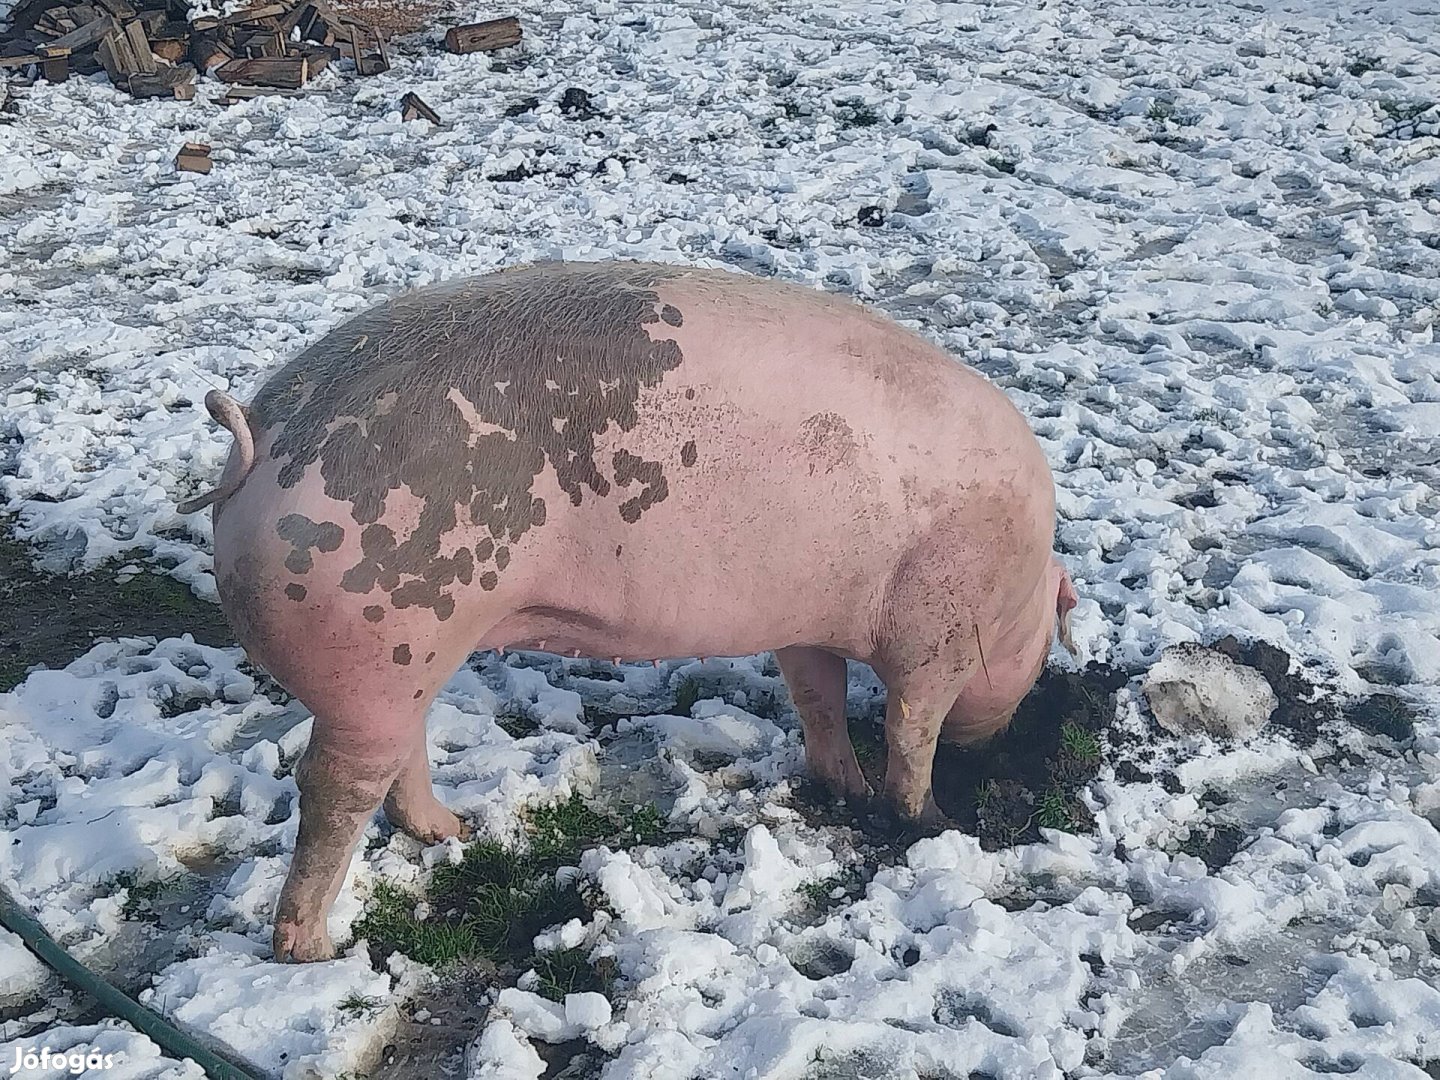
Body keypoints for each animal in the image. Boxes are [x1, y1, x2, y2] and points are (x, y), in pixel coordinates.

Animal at [180, 262, 1077, 961]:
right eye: (1043, 652)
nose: (1004, 741)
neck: (1017, 587)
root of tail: (263, 430)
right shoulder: (936, 632)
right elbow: (910, 729)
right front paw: (928, 818)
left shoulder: (804, 626)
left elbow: (818, 698)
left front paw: (845, 792)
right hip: (375, 643)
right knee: (332, 787)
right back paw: (314, 950)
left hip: (405, 661)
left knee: (400, 751)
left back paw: (453, 833)